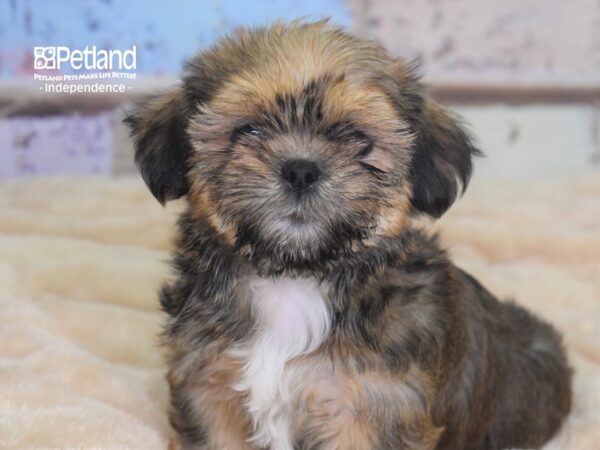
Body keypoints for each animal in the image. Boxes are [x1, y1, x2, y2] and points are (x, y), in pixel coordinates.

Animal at [125, 19, 572, 448]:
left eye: (357, 138)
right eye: (249, 129)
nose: (300, 170)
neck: (295, 276)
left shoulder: (372, 405)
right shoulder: (208, 387)